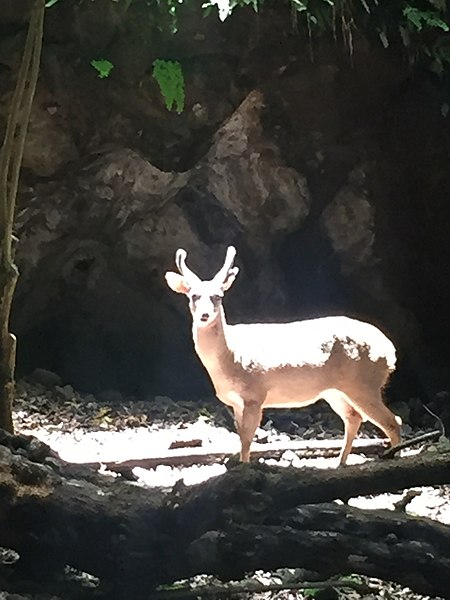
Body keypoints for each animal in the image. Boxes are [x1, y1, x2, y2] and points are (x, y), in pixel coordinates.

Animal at [164, 244, 400, 464]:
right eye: (193, 295)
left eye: (218, 296)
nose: (204, 315)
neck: (231, 356)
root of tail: (390, 351)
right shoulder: (235, 401)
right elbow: (241, 436)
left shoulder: (255, 393)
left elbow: (247, 438)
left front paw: (244, 468)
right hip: (336, 390)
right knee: (354, 417)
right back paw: (339, 463)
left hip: (364, 382)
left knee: (392, 421)